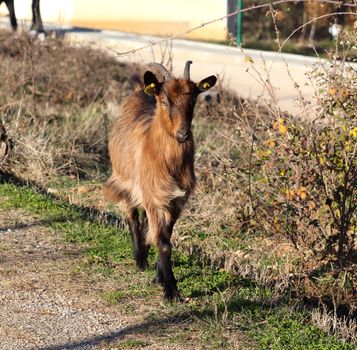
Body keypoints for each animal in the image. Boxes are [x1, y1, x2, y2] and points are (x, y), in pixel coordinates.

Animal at [101, 60, 216, 300]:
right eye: (165, 101)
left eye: (194, 99)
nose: (182, 134)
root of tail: (141, 92)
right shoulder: (155, 197)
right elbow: (163, 241)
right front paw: (170, 290)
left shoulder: (175, 201)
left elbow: (166, 235)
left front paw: (159, 277)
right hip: (125, 181)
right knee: (132, 216)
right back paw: (140, 259)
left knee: (145, 222)